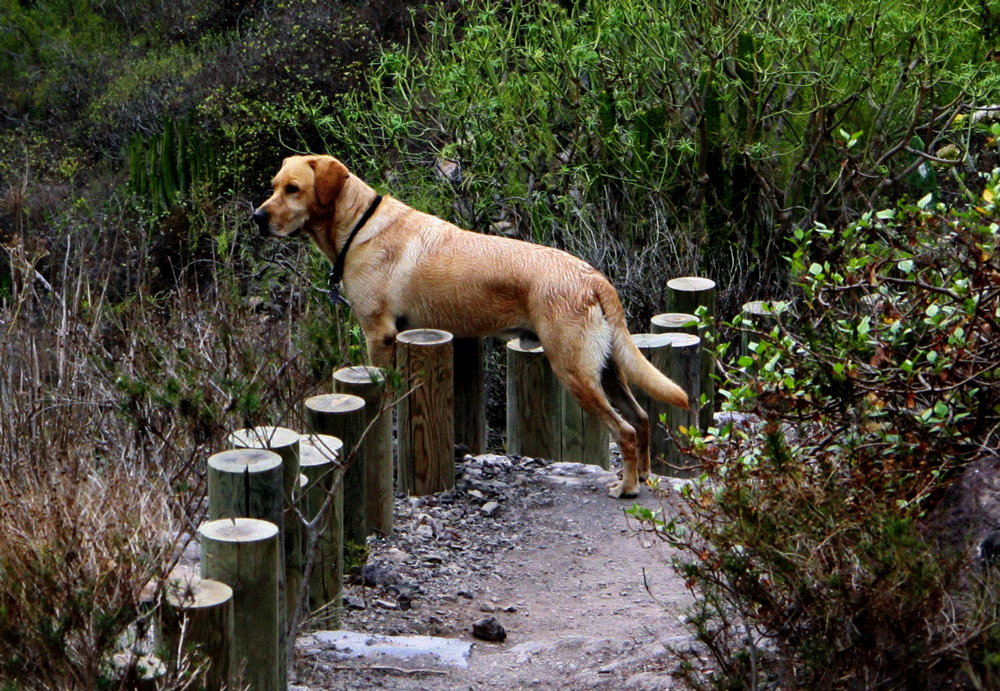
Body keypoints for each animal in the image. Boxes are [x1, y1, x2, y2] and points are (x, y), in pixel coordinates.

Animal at [252, 155, 688, 498]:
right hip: (607, 369)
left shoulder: (380, 336)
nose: (257, 218)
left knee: (625, 430)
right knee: (641, 419)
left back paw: (626, 487)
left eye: (293, 189)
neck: (359, 226)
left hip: (575, 372)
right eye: (273, 187)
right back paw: (643, 475)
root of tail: (593, 277)